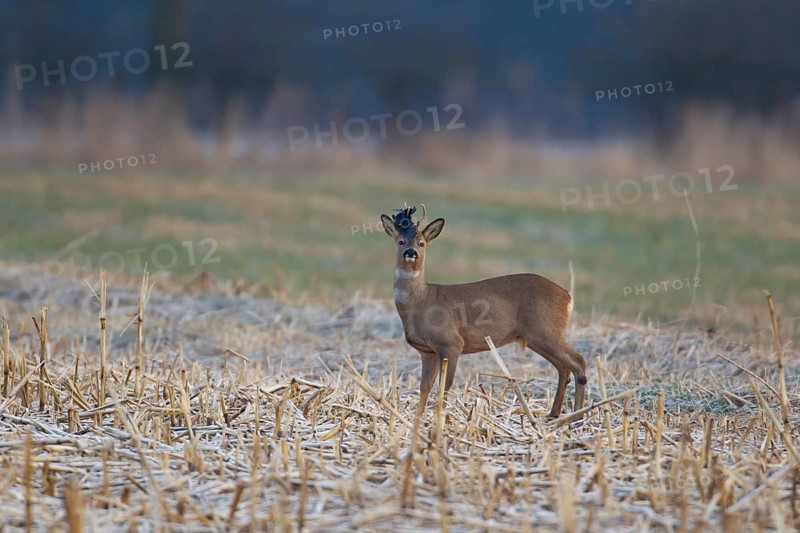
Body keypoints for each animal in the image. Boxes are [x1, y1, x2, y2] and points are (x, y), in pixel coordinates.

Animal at [380, 205, 587, 419]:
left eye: (421, 243)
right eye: (401, 241)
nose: (410, 252)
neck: (421, 300)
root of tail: (567, 295)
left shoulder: (451, 342)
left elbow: (445, 386)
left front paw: (439, 417)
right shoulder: (427, 351)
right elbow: (424, 388)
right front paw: (418, 419)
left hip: (545, 330)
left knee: (579, 362)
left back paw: (578, 415)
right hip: (535, 337)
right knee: (564, 368)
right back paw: (554, 414)